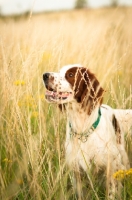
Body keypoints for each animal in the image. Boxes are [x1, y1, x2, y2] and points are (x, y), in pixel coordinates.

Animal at [42, 64, 131, 198]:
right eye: (59, 71)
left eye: (71, 75)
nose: (45, 75)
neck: (83, 129)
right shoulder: (77, 172)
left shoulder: (111, 168)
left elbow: (112, 192)